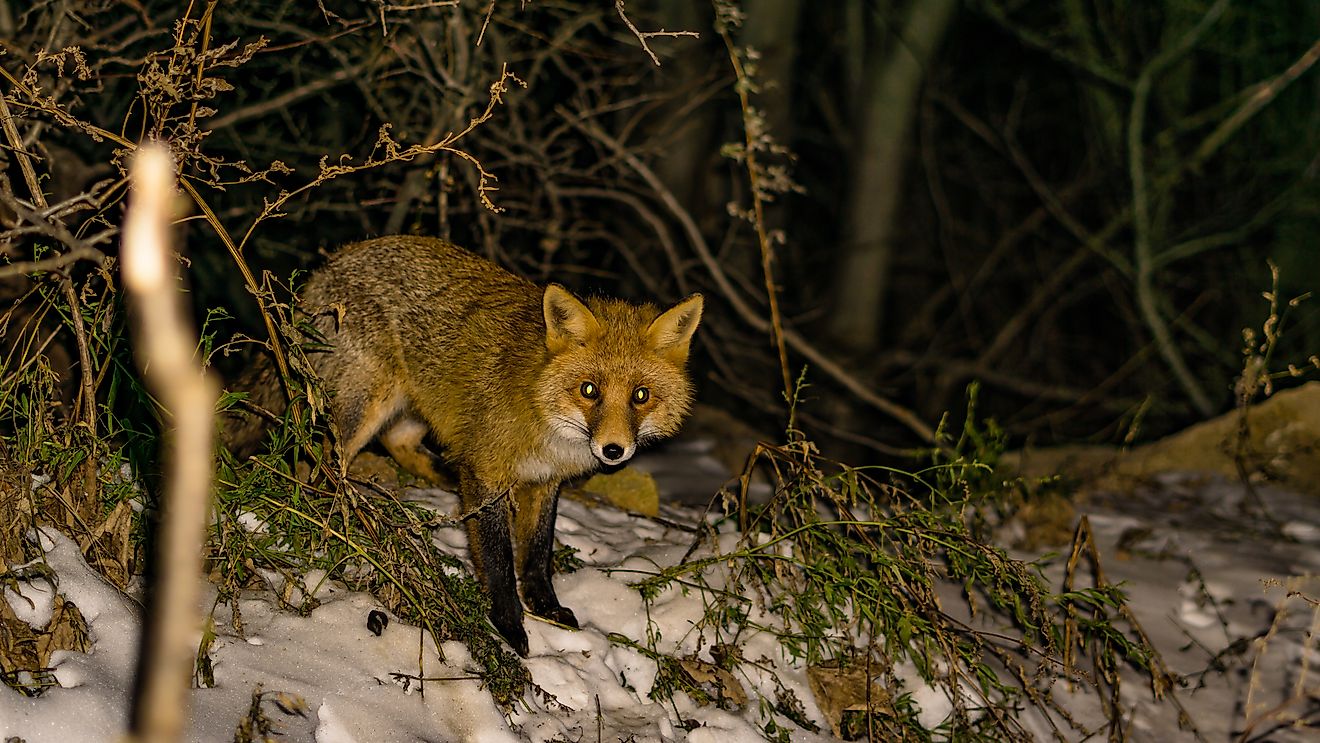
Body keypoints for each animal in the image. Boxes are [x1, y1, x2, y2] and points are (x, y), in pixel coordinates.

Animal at [229, 234, 702, 654]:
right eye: (589, 390)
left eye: (640, 395)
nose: (613, 450)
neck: (546, 419)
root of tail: (334, 261)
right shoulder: (489, 473)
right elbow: (497, 560)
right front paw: (510, 625)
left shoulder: (543, 482)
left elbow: (536, 555)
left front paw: (546, 608)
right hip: (366, 405)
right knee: (325, 460)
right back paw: (344, 512)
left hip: (421, 405)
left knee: (398, 442)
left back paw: (441, 476)